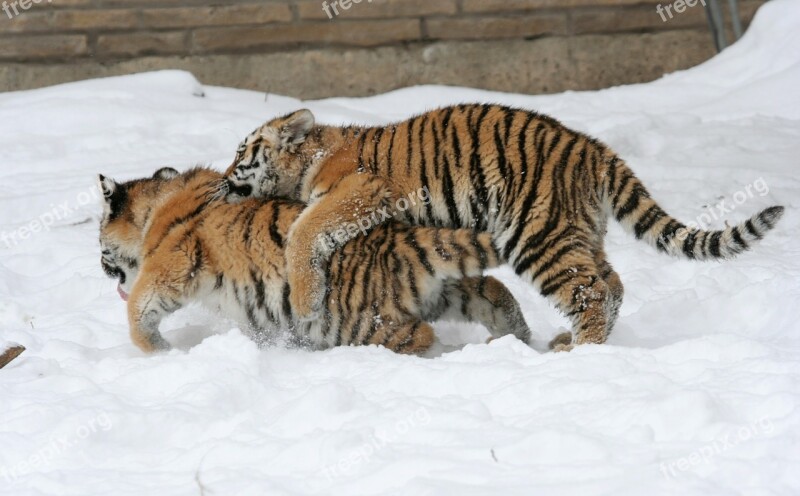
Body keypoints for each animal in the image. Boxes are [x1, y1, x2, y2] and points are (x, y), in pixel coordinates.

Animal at [97, 167, 532, 352]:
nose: (102, 269)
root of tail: (400, 237)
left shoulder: (170, 265)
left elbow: (139, 307)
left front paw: (155, 348)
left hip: (353, 322)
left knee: (421, 336)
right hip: (446, 290)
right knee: (494, 292)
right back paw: (516, 337)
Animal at [222, 105, 784, 352]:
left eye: (241, 151)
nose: (223, 178)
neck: (311, 156)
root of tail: (593, 149)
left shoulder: (362, 191)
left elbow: (305, 228)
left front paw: (306, 299)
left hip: (537, 234)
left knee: (593, 292)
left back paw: (580, 354)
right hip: (577, 230)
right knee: (612, 282)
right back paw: (574, 341)